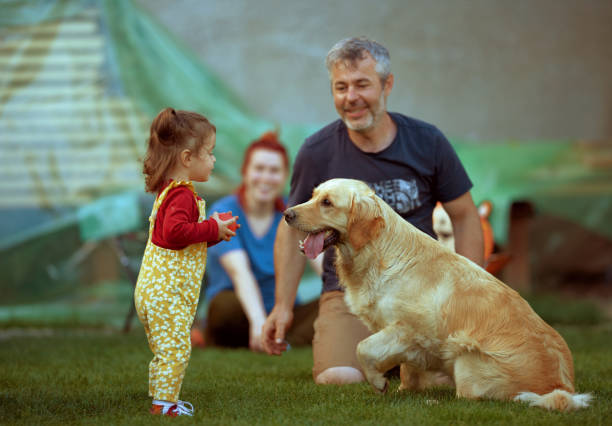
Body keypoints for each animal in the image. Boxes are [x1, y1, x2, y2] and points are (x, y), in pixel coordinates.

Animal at [284, 178, 592, 412]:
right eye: (312, 196)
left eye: (327, 202)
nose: (287, 214)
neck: (378, 251)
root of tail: (562, 387)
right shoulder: (404, 337)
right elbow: (405, 369)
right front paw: (403, 392)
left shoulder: (409, 328)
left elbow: (363, 348)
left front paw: (379, 383)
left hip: (468, 362)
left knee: (474, 399)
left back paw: (435, 402)